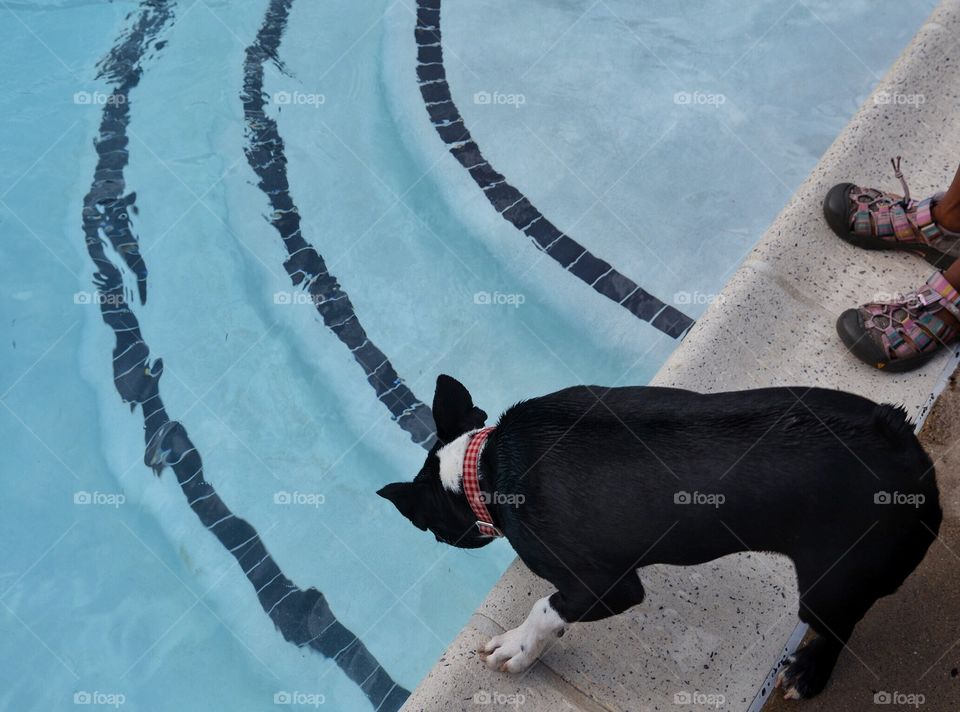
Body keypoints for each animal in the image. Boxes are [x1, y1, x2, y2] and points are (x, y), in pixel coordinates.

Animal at [378, 376, 940, 700]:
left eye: (429, 526)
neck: (484, 467)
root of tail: (903, 443)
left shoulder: (606, 586)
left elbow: (545, 607)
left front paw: (517, 646)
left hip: (832, 584)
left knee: (839, 628)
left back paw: (809, 672)